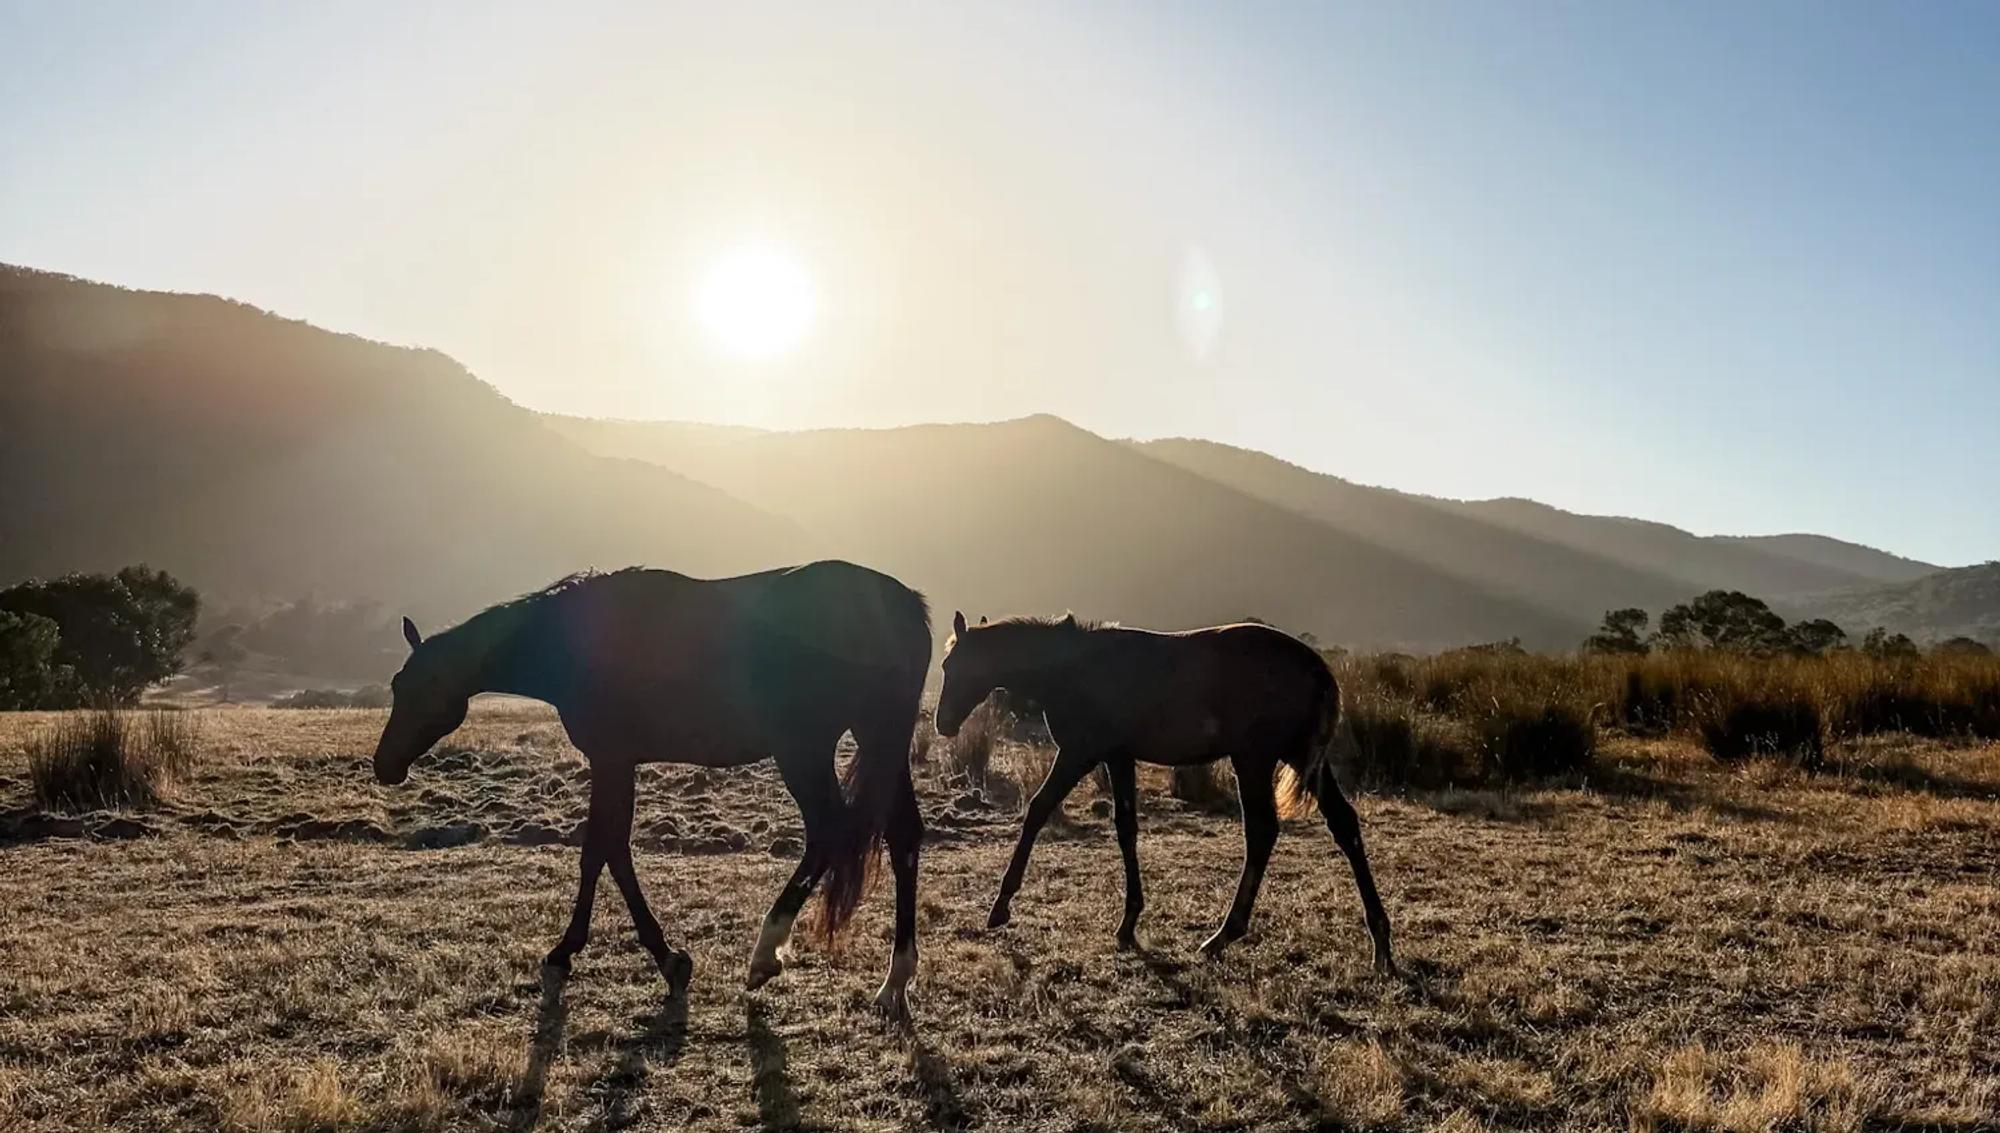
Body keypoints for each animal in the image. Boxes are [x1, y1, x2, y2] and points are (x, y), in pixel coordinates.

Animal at [371, 561, 932, 1019]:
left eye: (416, 687)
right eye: (397, 684)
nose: (384, 766)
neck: (579, 643)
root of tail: (900, 604)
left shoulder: (610, 760)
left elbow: (604, 851)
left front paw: (628, 957)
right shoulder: (618, 763)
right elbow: (607, 851)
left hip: (805, 748)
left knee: (827, 834)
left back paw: (765, 952)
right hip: (878, 737)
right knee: (902, 835)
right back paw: (895, 981)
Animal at [935, 611, 1393, 972]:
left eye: (951, 666)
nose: (943, 723)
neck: (1073, 669)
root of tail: (1315, 665)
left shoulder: (1079, 753)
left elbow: (1037, 810)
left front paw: (1000, 905)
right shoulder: (1117, 757)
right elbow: (1126, 828)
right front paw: (1128, 923)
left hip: (1255, 759)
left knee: (1262, 832)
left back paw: (1224, 935)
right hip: (1300, 759)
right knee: (1343, 824)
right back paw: (1380, 941)